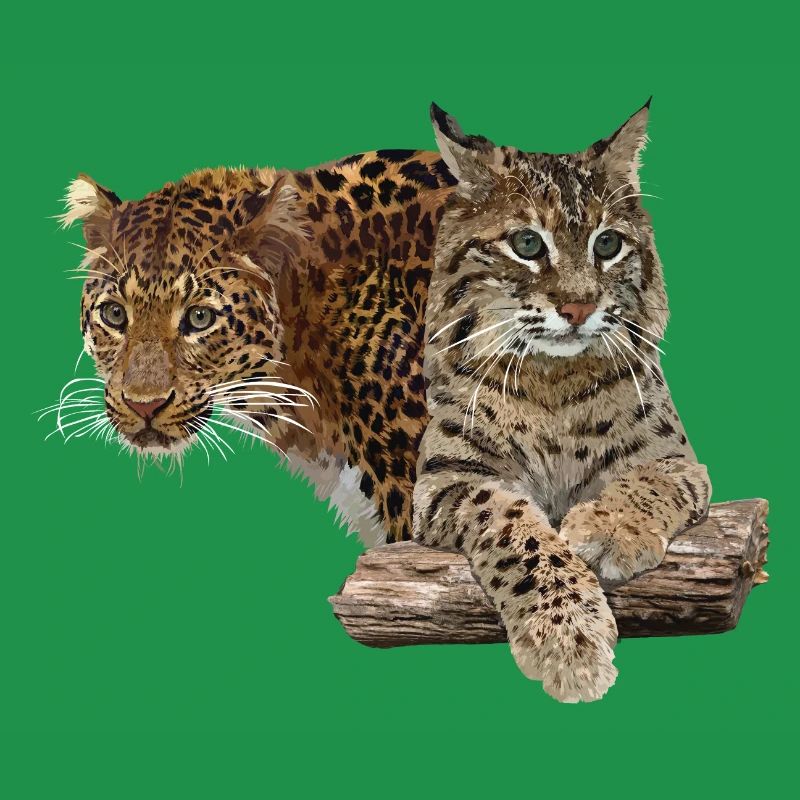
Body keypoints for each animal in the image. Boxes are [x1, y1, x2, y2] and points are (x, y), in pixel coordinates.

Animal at [413, 101, 711, 702]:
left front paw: (612, 528)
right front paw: (568, 640)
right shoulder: (445, 479)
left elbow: (649, 480)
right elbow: (512, 526)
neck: (552, 376)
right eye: (528, 245)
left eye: (607, 245)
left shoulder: (679, 461)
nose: (578, 308)